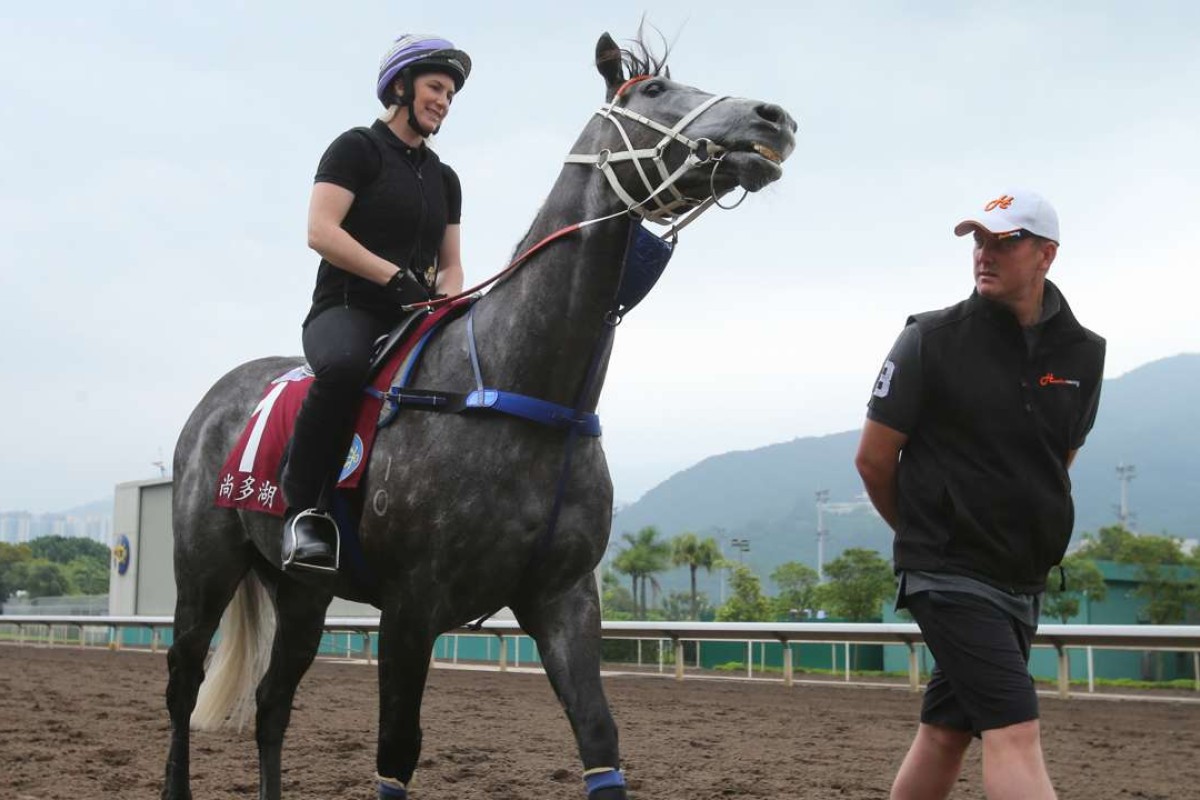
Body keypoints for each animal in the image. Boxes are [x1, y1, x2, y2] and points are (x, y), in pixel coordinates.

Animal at [162, 31, 796, 800]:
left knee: (271, 703)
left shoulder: (563, 600)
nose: (773, 117)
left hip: (303, 595)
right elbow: (397, 753)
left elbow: (600, 740)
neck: (522, 391)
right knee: (183, 683)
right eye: (651, 92)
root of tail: (214, 400)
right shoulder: (411, 608)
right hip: (205, 570)